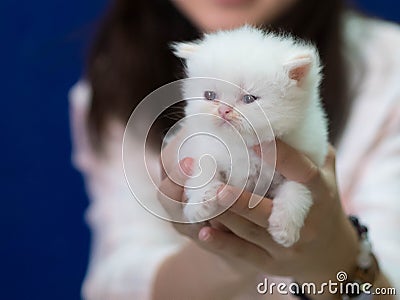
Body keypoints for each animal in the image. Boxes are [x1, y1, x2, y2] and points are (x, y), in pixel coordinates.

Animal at [172, 25, 328, 246]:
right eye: (210, 96)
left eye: (248, 99)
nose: (223, 110)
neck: (244, 146)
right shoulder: (199, 145)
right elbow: (205, 167)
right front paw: (198, 206)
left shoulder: (306, 162)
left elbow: (297, 189)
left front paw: (285, 229)